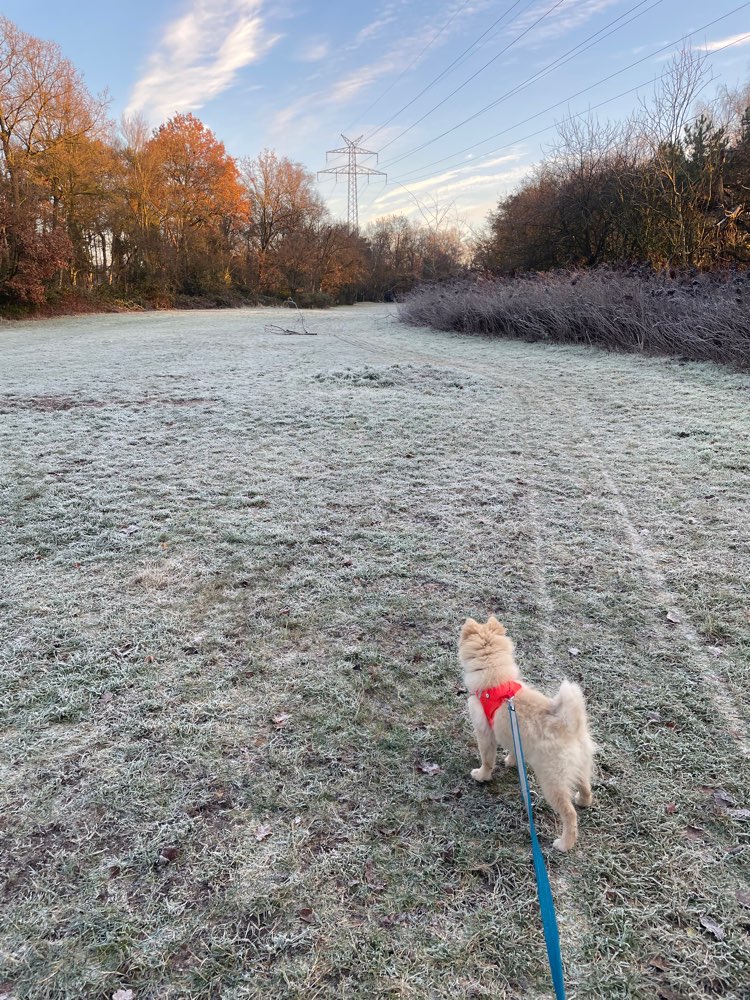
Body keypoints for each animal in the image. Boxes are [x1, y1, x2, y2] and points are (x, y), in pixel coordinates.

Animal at [462, 616, 596, 852]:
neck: (495, 680)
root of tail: (571, 726)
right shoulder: (513, 736)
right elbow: (514, 751)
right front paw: (511, 762)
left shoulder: (485, 732)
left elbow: (487, 759)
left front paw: (481, 775)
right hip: (580, 765)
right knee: (586, 786)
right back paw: (583, 800)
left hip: (552, 781)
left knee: (569, 815)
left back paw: (564, 844)